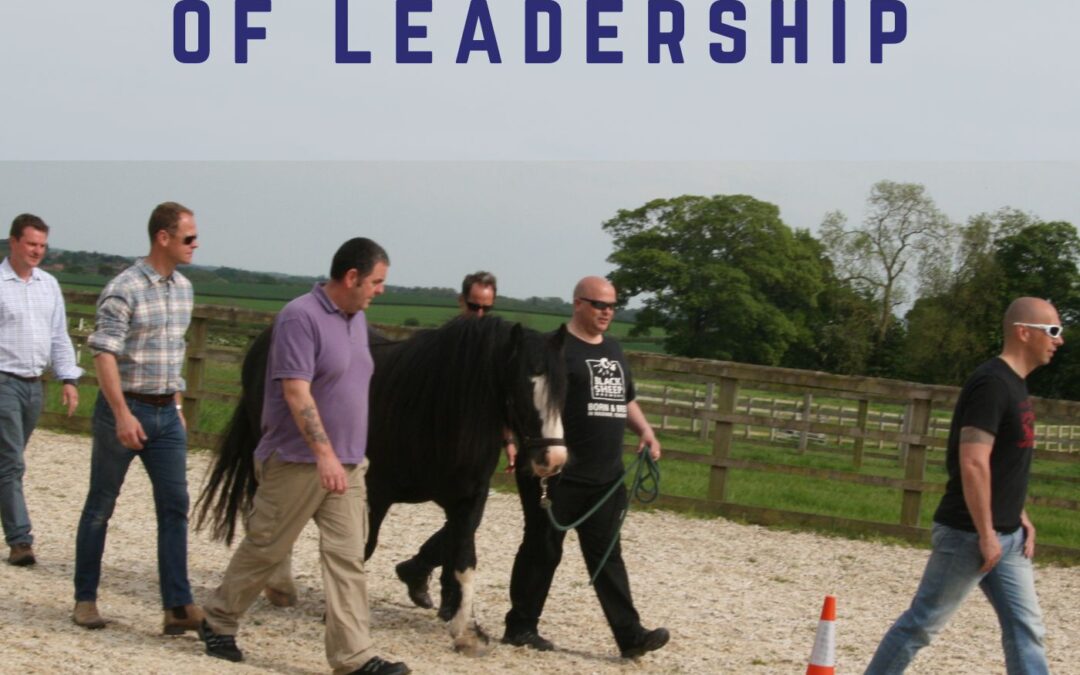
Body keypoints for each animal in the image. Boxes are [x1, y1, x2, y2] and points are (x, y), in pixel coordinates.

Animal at [196, 315, 565, 652]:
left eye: (562, 392)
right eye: (522, 388)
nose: (554, 460)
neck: (434, 409)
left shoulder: (468, 501)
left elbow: (464, 561)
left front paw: (465, 632)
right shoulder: (374, 492)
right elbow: (361, 549)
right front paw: (340, 616)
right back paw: (281, 584)